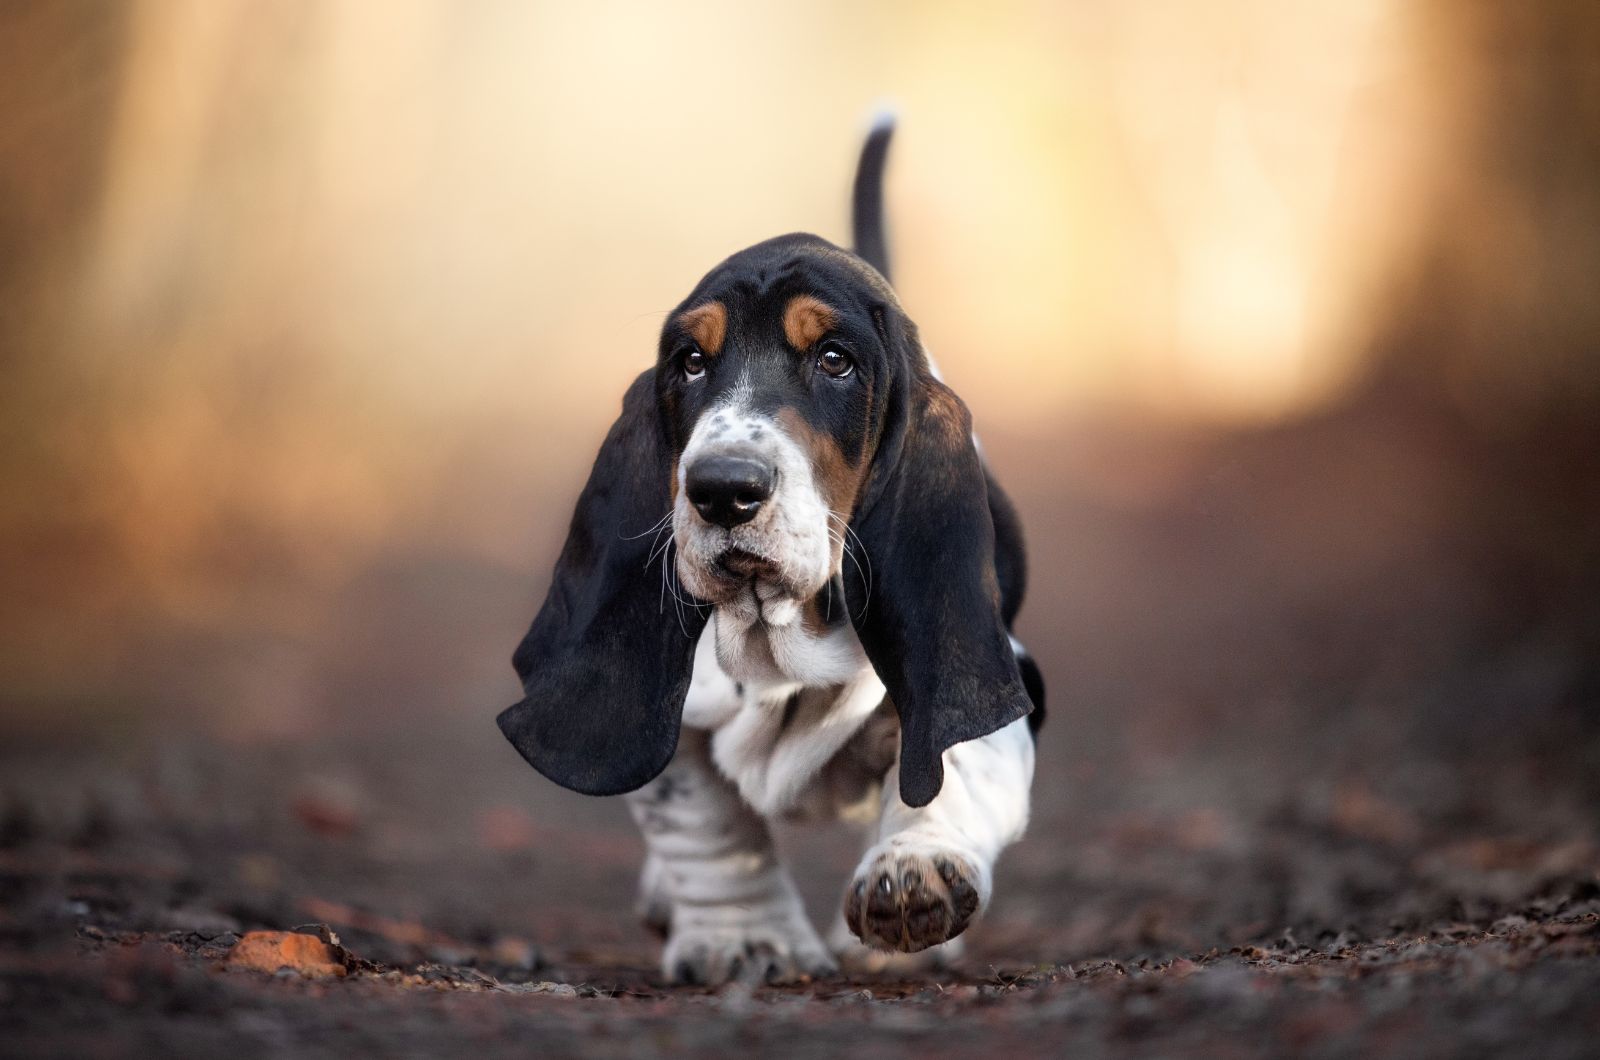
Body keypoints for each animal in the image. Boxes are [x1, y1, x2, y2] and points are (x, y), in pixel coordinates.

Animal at [502, 118, 1049, 986]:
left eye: (834, 359)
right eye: (691, 362)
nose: (723, 489)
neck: (779, 637)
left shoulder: (995, 671)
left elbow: (948, 761)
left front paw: (913, 868)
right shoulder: (682, 716)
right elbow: (706, 824)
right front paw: (745, 939)